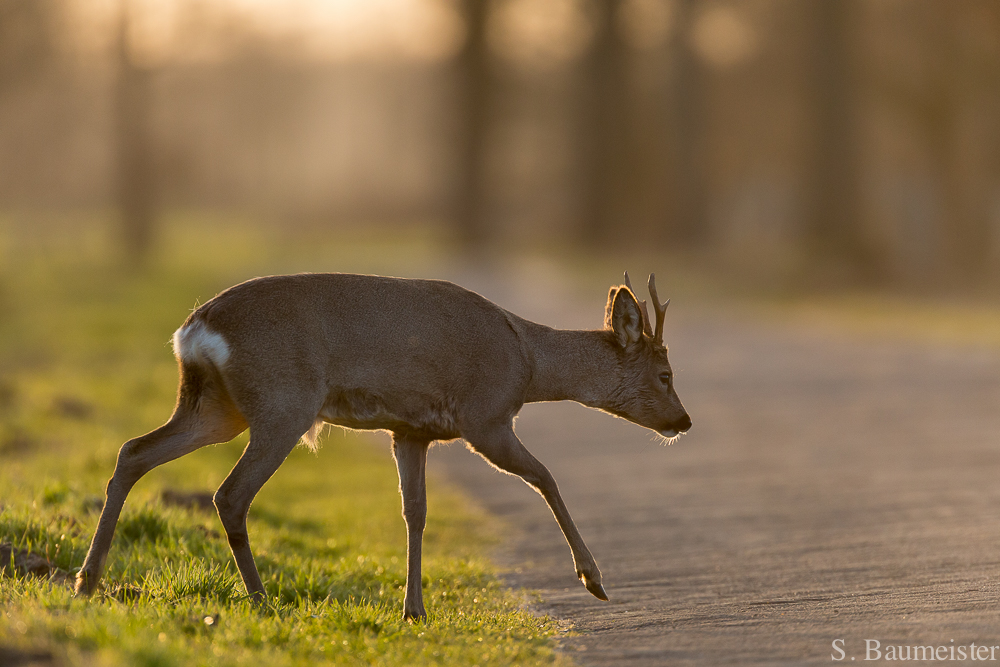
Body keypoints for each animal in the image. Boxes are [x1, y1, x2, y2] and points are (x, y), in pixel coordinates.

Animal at [76, 272, 688, 620]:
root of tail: (194, 328)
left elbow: (415, 512)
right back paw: (263, 601)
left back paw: (87, 582)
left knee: (133, 451)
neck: (527, 363)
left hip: (214, 407)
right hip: (282, 403)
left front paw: (413, 609)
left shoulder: (410, 430)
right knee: (229, 494)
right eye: (664, 374)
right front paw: (594, 579)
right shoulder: (485, 416)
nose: (683, 420)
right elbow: (546, 478)